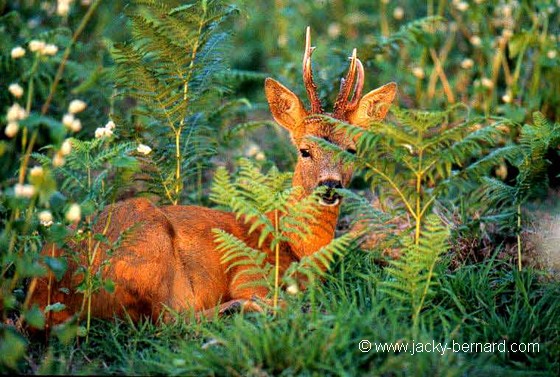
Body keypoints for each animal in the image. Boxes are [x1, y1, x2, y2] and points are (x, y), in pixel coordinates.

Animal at [29, 27, 398, 328]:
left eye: (352, 149)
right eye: (304, 150)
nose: (330, 185)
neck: (295, 247)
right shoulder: (248, 273)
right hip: (152, 247)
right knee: (171, 320)